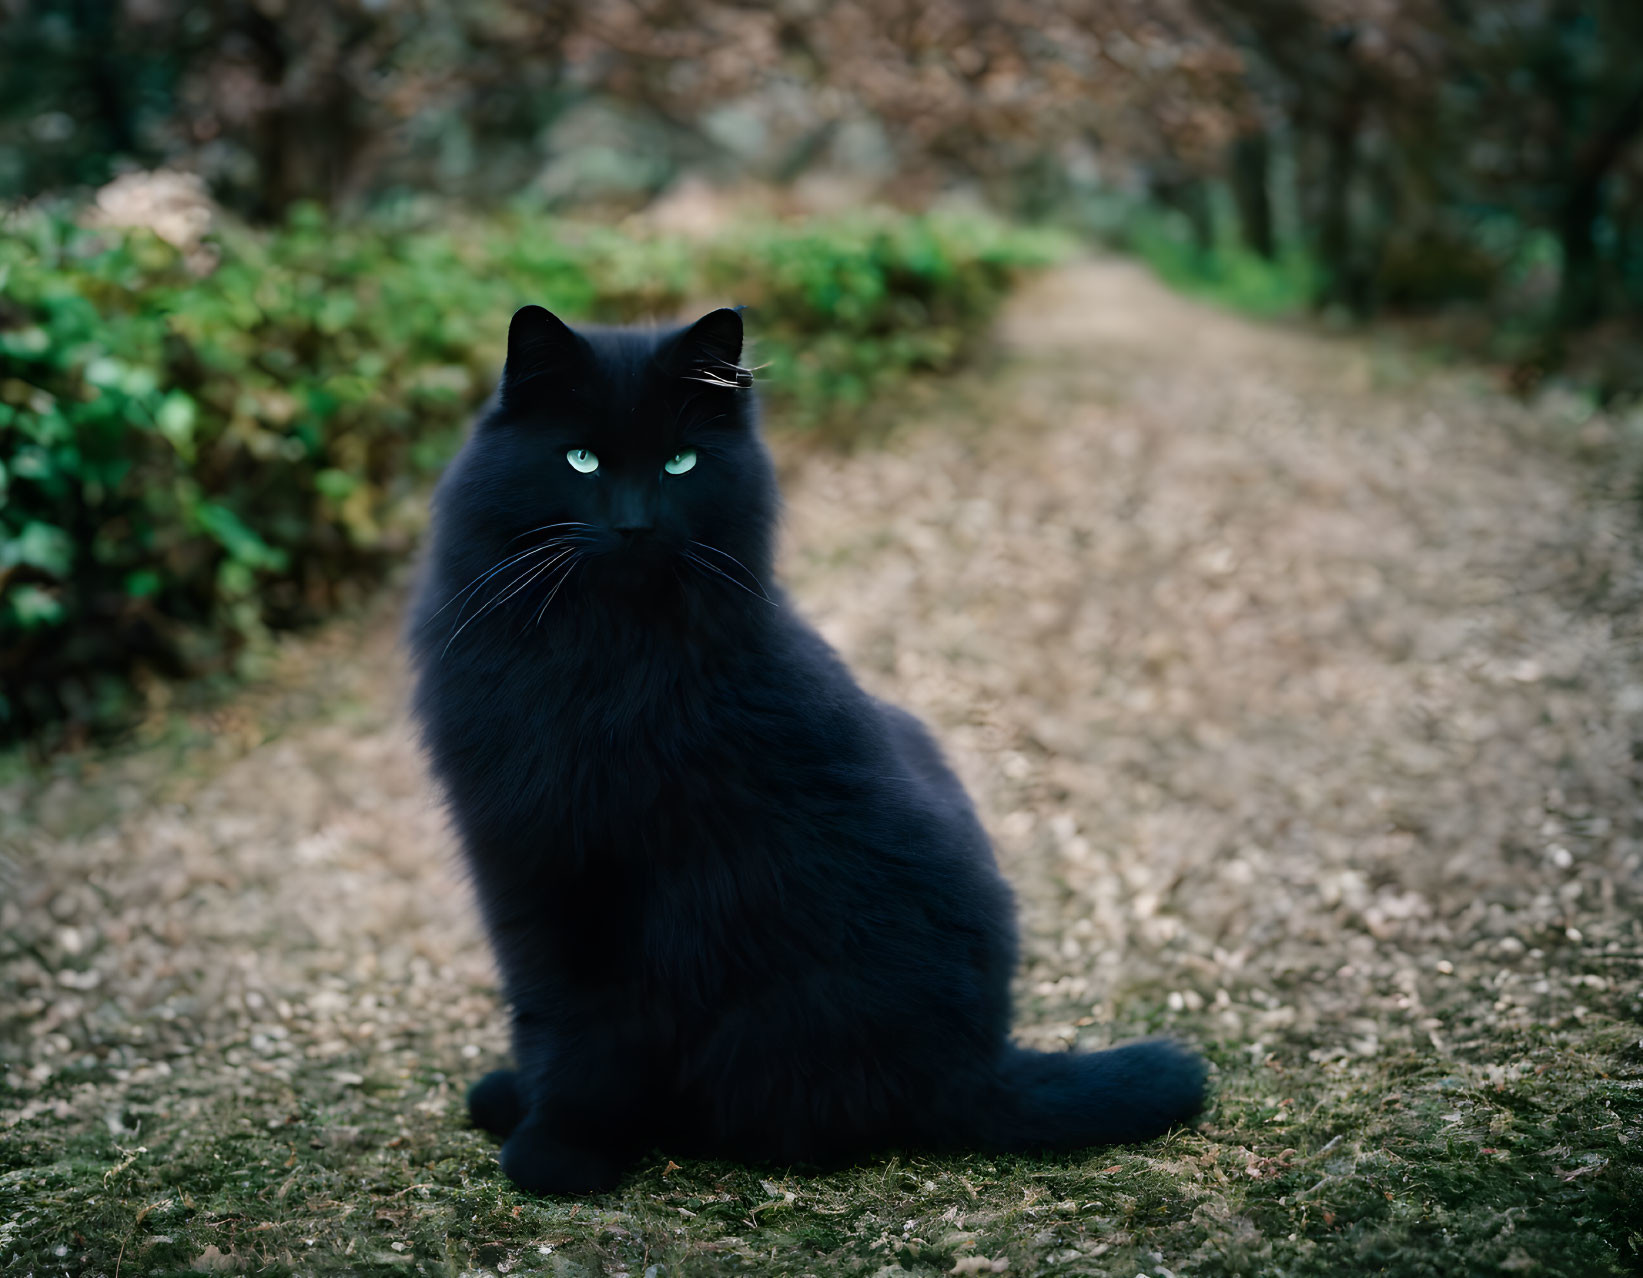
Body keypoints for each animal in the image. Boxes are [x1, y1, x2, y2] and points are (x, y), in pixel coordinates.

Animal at [407, 303, 1209, 1189]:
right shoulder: (520, 867)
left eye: (681, 462)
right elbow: (541, 1010)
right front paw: (530, 1110)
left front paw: (558, 1151)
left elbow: (586, 1031)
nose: (634, 525)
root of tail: (979, 1066)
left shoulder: (601, 885)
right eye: (580, 459)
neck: (599, 650)